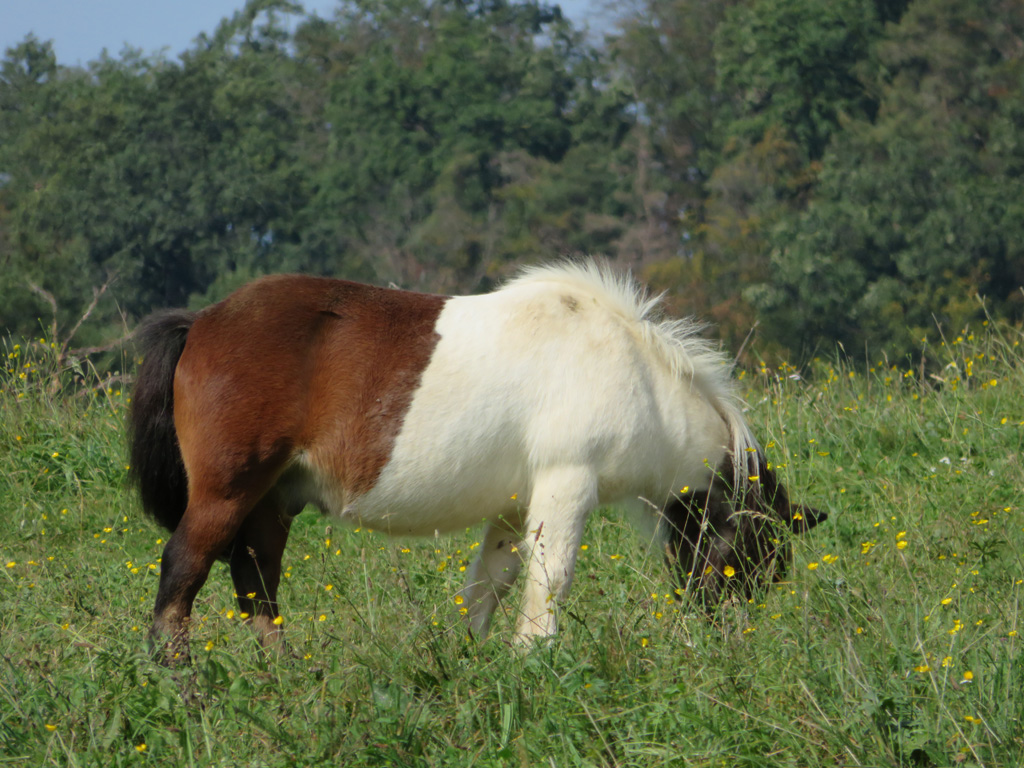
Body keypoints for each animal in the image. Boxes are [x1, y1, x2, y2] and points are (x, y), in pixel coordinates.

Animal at [130, 262, 823, 659]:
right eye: (753, 563)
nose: (729, 649)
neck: (636, 376)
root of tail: (202, 321)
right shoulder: (566, 487)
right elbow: (548, 583)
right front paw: (533, 664)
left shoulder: (512, 511)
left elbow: (488, 586)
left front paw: (471, 664)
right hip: (227, 493)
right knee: (181, 580)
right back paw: (183, 689)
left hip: (273, 501)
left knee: (256, 583)